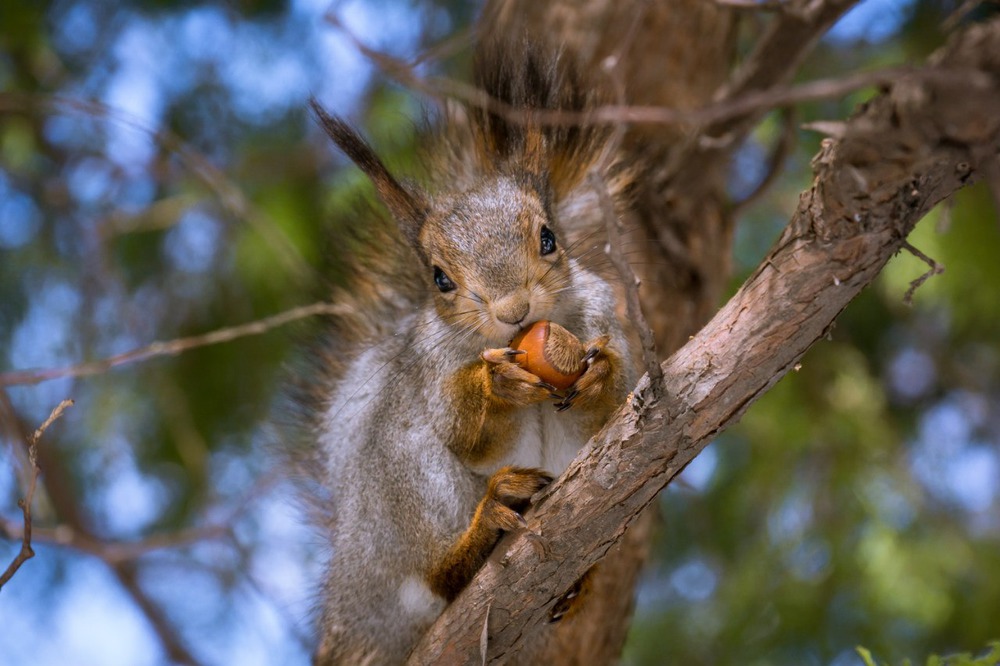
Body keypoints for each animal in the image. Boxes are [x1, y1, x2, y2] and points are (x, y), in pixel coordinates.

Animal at [294, 39, 640, 660]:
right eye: (439, 279)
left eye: (549, 238)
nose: (513, 310)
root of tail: (354, 614)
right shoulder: (430, 366)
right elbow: (464, 431)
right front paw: (496, 386)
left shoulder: (602, 312)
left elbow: (609, 406)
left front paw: (601, 374)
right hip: (406, 485)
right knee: (434, 574)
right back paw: (480, 531)